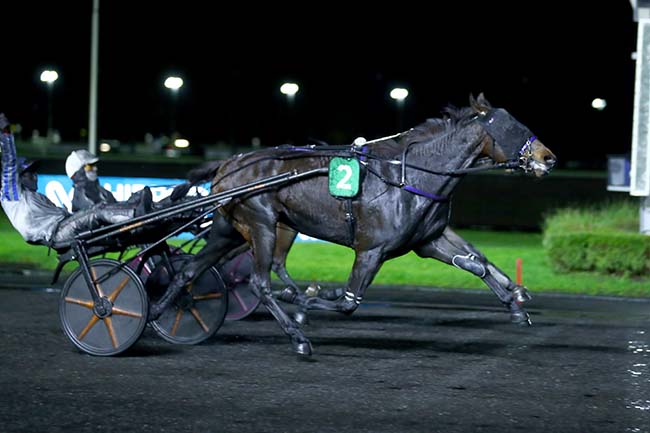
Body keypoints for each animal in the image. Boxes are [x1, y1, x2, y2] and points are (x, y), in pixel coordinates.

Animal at [149, 93, 556, 354]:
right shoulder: (371, 249)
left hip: (230, 230)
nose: (548, 157)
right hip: (263, 224)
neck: (409, 175)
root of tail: (229, 163)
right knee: (259, 281)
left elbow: (476, 263)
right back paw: (297, 336)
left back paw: (156, 313)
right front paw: (305, 301)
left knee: (189, 270)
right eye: (515, 127)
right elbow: (347, 302)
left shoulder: (427, 240)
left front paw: (516, 302)